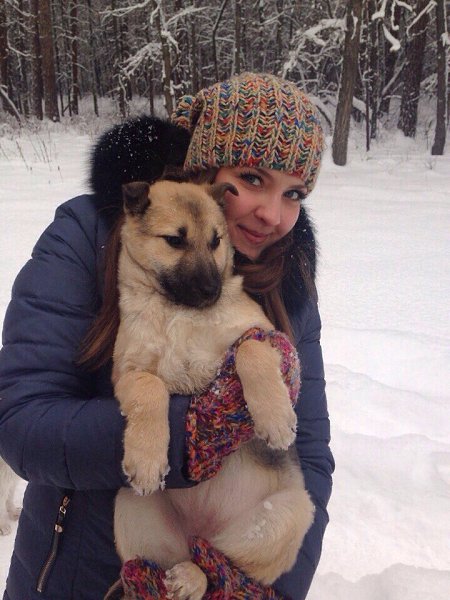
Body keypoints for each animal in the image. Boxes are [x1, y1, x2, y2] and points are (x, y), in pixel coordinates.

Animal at [112, 179, 315, 599]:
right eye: (175, 240)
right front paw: (147, 458)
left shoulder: (266, 336)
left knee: (220, 560)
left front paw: (275, 418)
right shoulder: (125, 372)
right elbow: (149, 387)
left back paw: (196, 576)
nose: (211, 290)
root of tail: (200, 527)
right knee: (186, 555)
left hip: (286, 516)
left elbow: (252, 349)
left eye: (216, 240)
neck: (178, 311)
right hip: (130, 509)